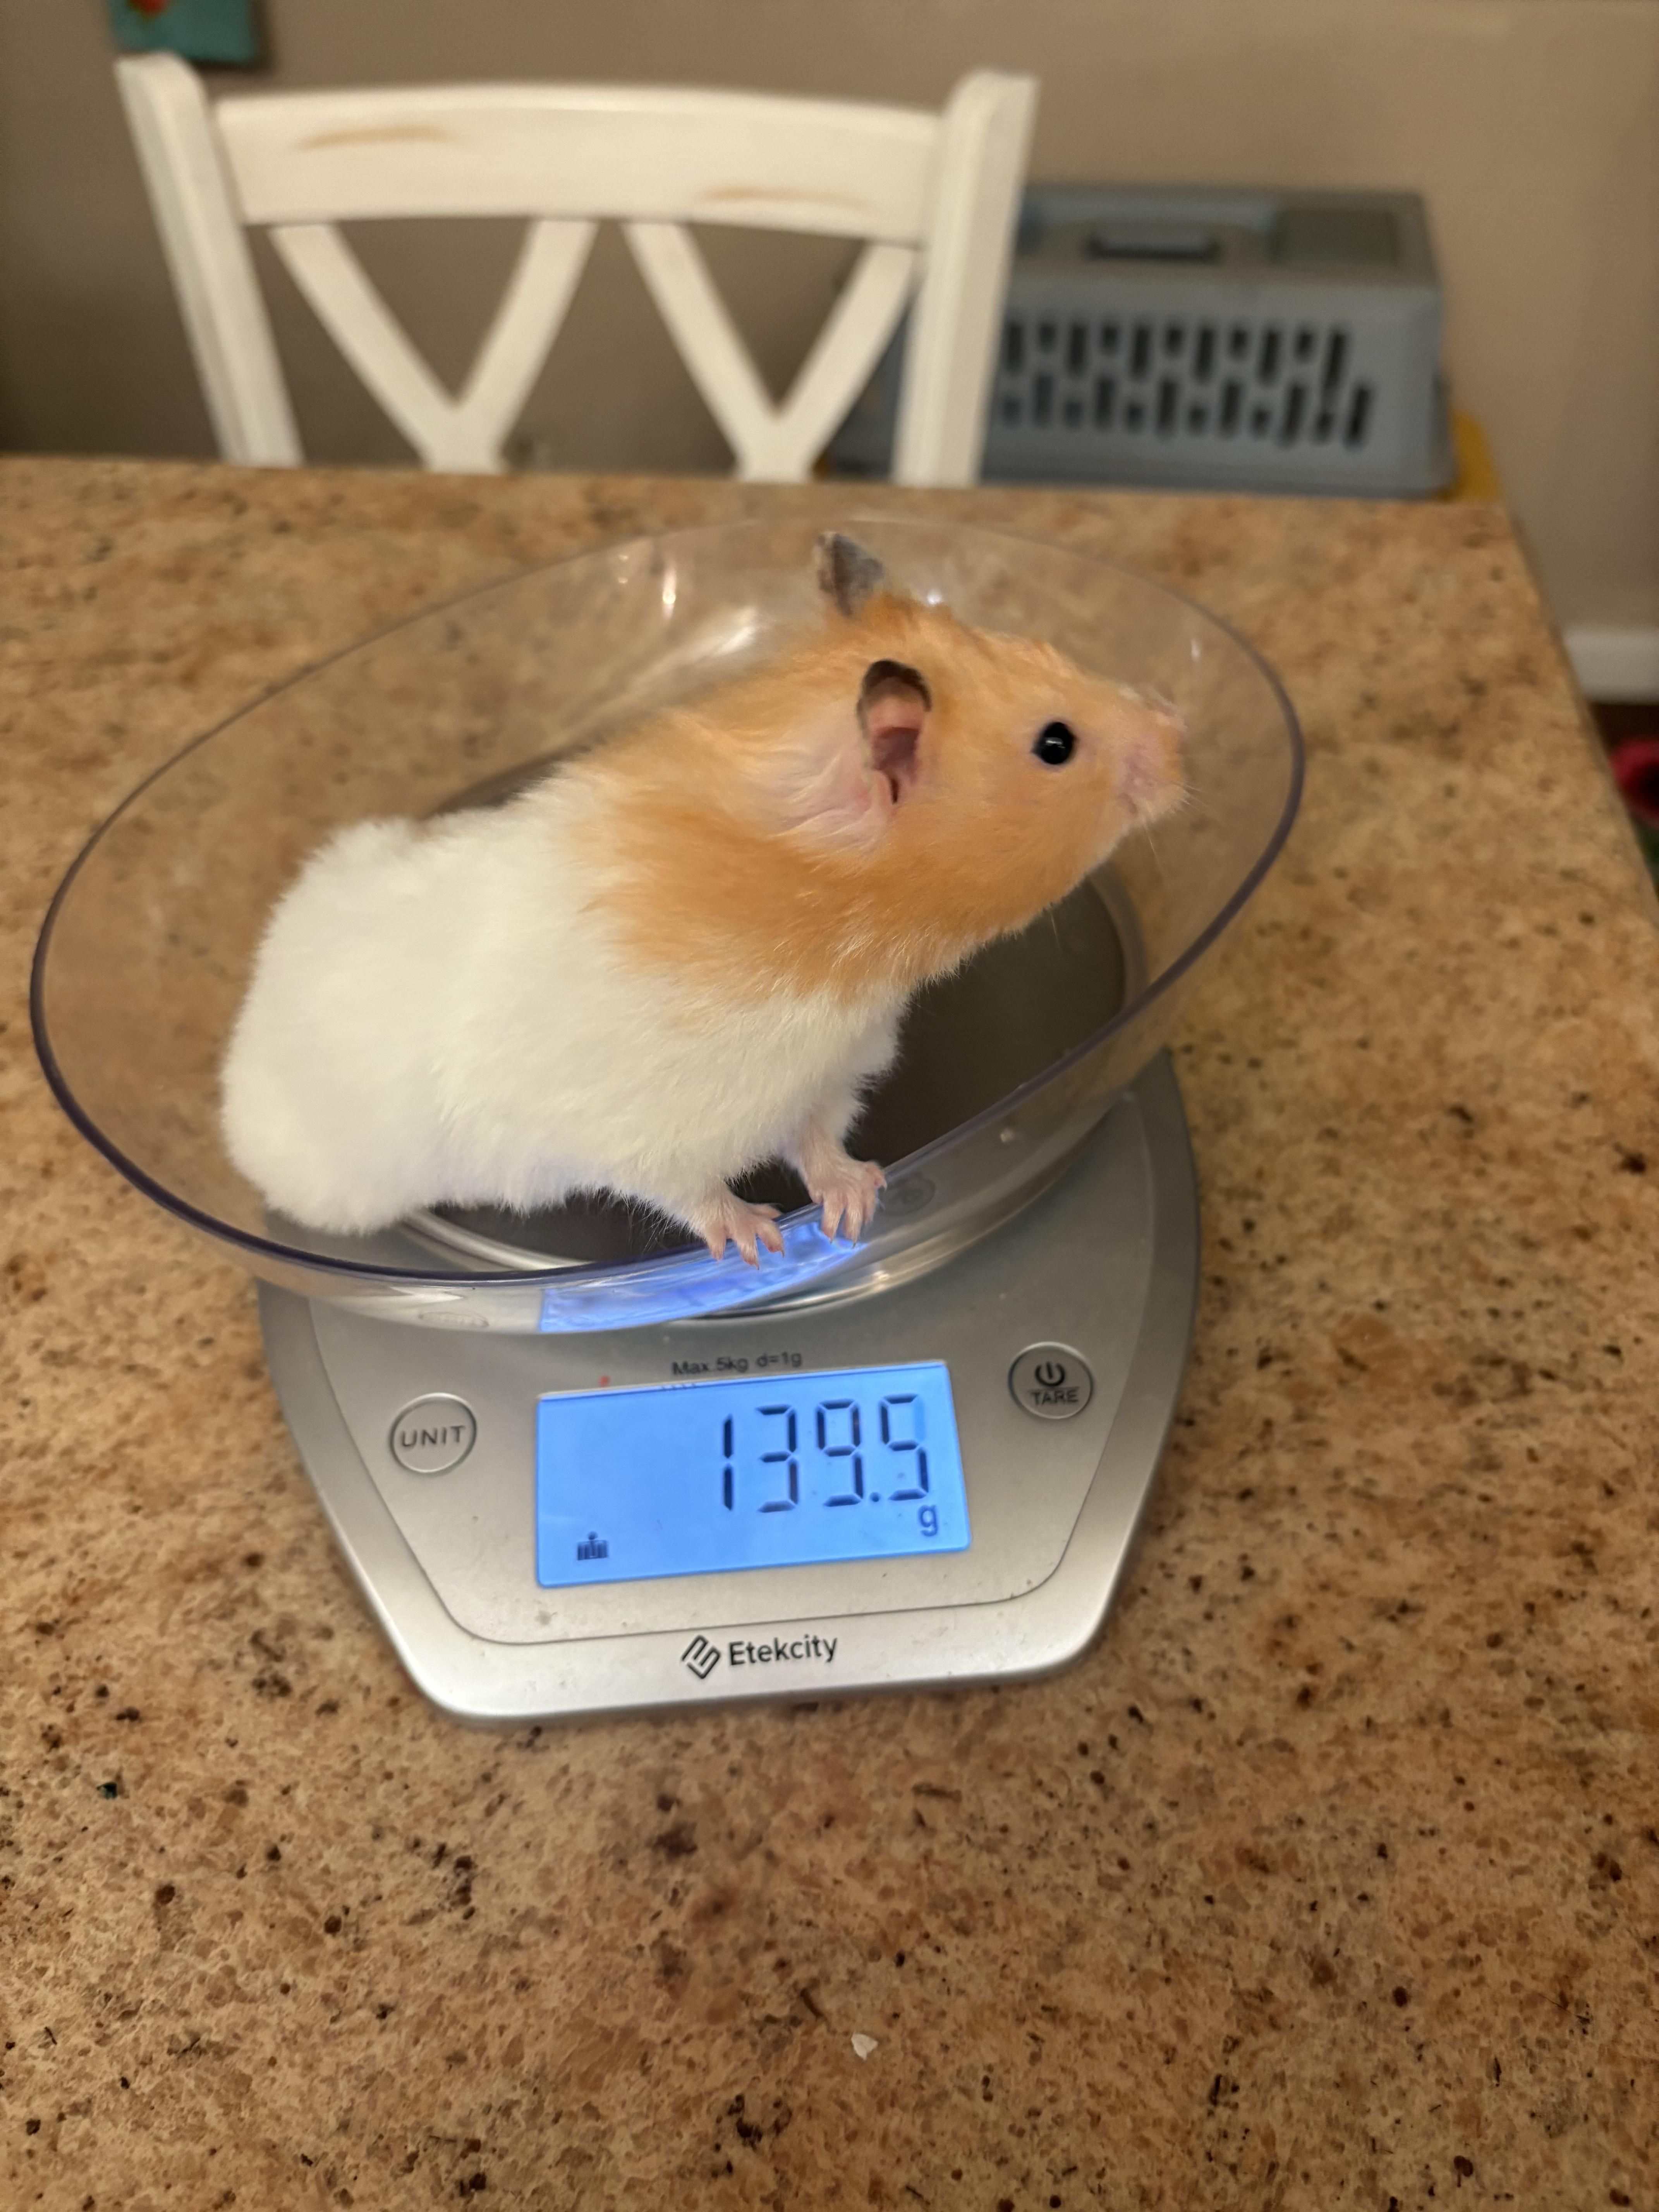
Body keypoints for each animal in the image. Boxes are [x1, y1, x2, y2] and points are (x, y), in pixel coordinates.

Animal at [221, 533, 1185, 1264]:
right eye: (1056, 745)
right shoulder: (644, 1128)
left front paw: (855, 1207)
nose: (1180, 735)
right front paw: (761, 1244)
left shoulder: (829, 1076)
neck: (844, 938)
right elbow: (690, 1190)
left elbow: (821, 1142)